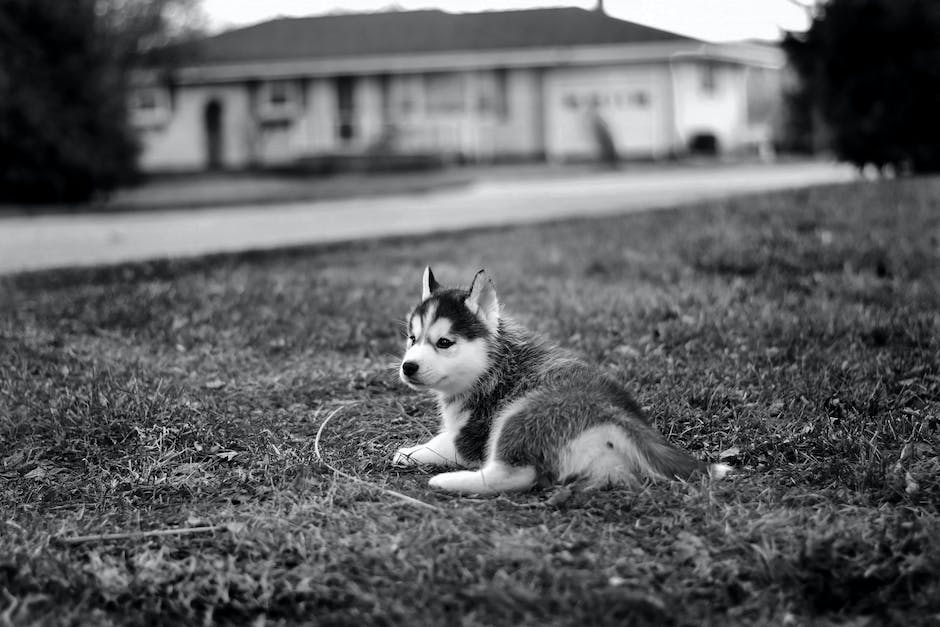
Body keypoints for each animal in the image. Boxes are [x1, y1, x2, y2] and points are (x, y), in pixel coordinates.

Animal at [392, 268, 732, 494]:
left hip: (521, 415)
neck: (492, 365)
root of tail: (619, 413)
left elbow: (443, 442)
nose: (408, 367)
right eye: (412, 338)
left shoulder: (475, 432)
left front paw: (409, 452)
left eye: (444, 343)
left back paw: (446, 482)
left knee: (517, 474)